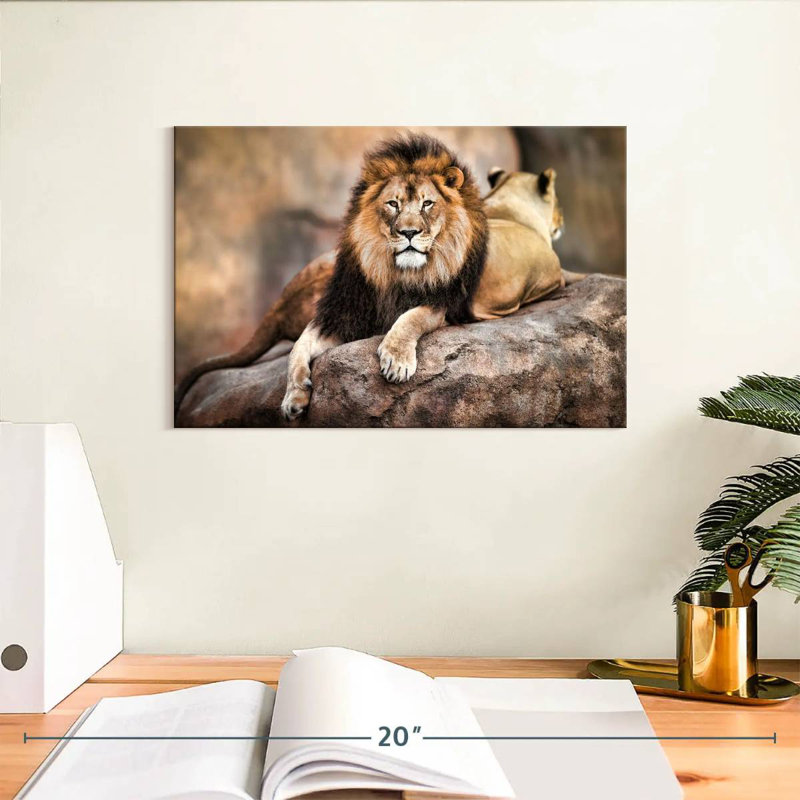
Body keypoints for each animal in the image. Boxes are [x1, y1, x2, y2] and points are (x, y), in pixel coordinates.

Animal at [174, 145, 581, 419]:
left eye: (428, 204)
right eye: (393, 205)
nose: (409, 233)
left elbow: (409, 318)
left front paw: (394, 358)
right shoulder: (552, 275)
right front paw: (296, 395)